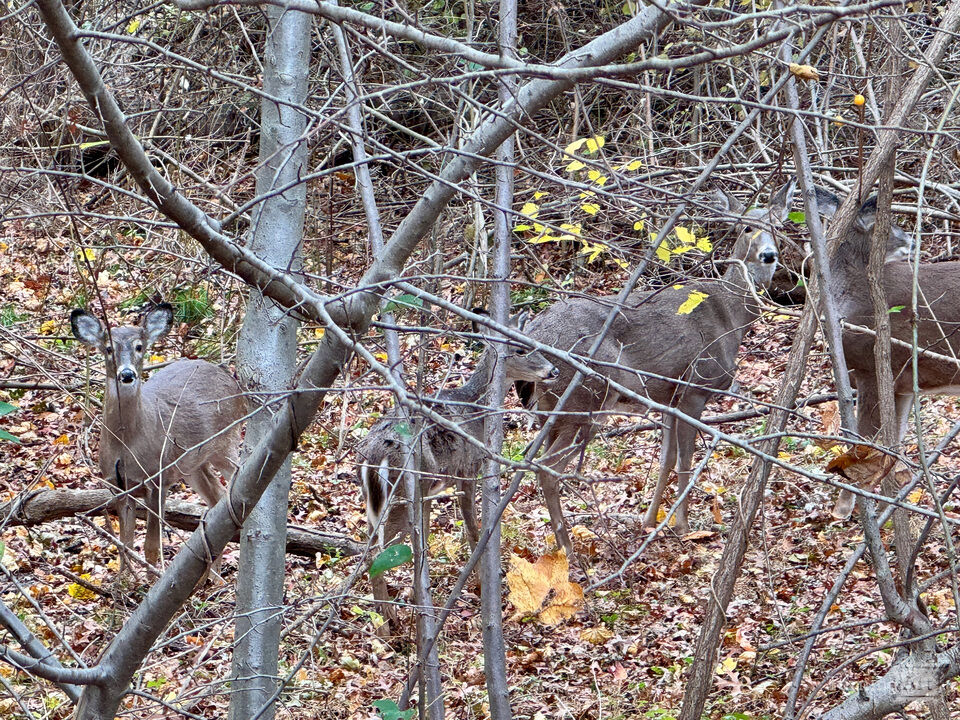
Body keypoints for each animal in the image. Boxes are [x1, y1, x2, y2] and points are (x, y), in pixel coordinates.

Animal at [71, 303, 247, 574]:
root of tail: (228, 375)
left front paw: (150, 580)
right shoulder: (118, 484)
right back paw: (211, 574)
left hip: (226, 441)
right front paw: (123, 581)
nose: (127, 374)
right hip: (191, 464)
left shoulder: (158, 478)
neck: (126, 445)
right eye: (108, 348)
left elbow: (151, 546)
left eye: (139, 346)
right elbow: (124, 543)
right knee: (215, 496)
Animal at [355, 311, 558, 628]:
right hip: (408, 490)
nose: (553, 370)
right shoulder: (468, 468)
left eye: (534, 344)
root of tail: (374, 455)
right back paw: (389, 620)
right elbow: (473, 526)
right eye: (519, 350)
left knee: (369, 546)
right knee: (380, 549)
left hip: (378, 497)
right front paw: (484, 580)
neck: (475, 410)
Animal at [519, 183, 796, 559]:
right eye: (745, 228)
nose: (768, 255)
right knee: (547, 469)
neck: (731, 317)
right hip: (585, 398)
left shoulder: (667, 396)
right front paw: (684, 528)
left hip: (552, 410)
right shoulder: (695, 387)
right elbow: (684, 460)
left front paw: (650, 520)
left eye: (778, 227)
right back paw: (569, 553)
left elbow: (665, 458)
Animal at [805, 186, 953, 518]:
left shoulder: (871, 368)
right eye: (882, 224)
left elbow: (865, 442)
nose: (912, 241)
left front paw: (845, 507)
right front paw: (894, 501)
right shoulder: (902, 382)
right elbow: (893, 444)